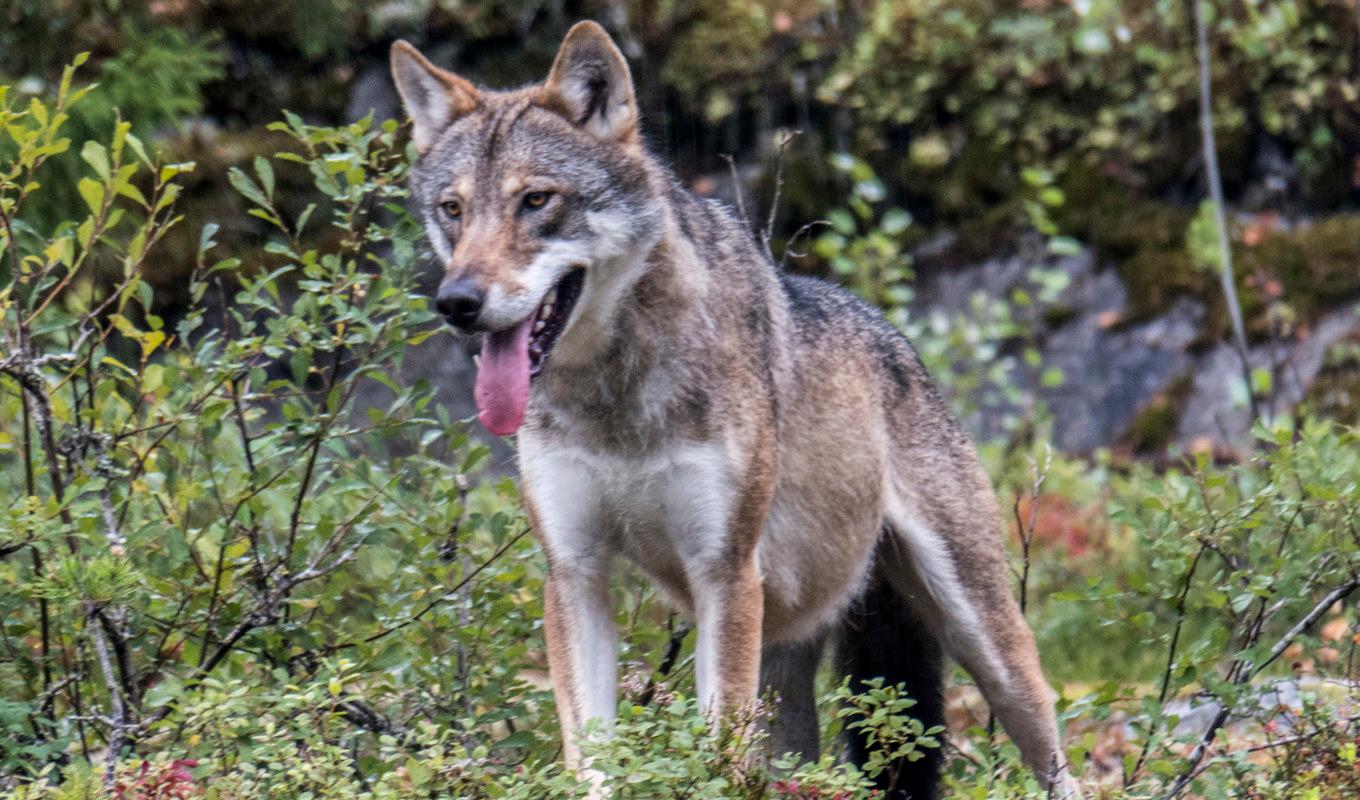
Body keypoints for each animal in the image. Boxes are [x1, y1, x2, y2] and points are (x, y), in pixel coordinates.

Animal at [394, 21, 1082, 794]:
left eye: (536, 201)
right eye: (453, 210)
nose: (457, 302)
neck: (615, 399)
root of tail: (897, 339)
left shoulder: (722, 574)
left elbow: (714, 757)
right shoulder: (574, 574)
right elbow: (591, 758)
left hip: (986, 642)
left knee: (1056, 759)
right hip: (790, 681)